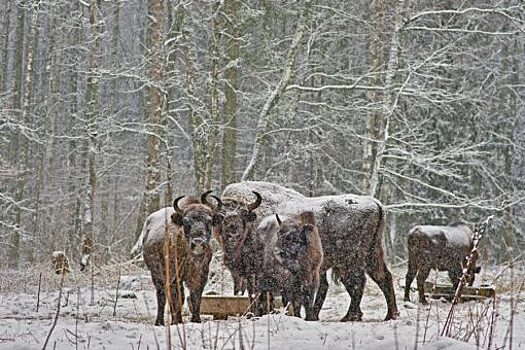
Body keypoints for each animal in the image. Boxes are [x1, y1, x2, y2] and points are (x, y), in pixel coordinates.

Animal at [141, 191, 221, 326]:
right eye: (186, 221)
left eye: (209, 221)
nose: (198, 243)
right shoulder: (174, 276)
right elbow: (177, 298)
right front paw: (177, 321)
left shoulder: (200, 275)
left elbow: (195, 297)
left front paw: (196, 320)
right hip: (156, 274)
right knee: (161, 296)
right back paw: (159, 322)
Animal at [221, 182, 398, 322]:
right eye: (220, 218)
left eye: (242, 217)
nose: (232, 235)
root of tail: (375, 203)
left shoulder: (257, 273)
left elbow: (260, 294)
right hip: (371, 255)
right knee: (382, 277)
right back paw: (389, 314)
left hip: (351, 260)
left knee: (358, 283)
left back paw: (351, 316)